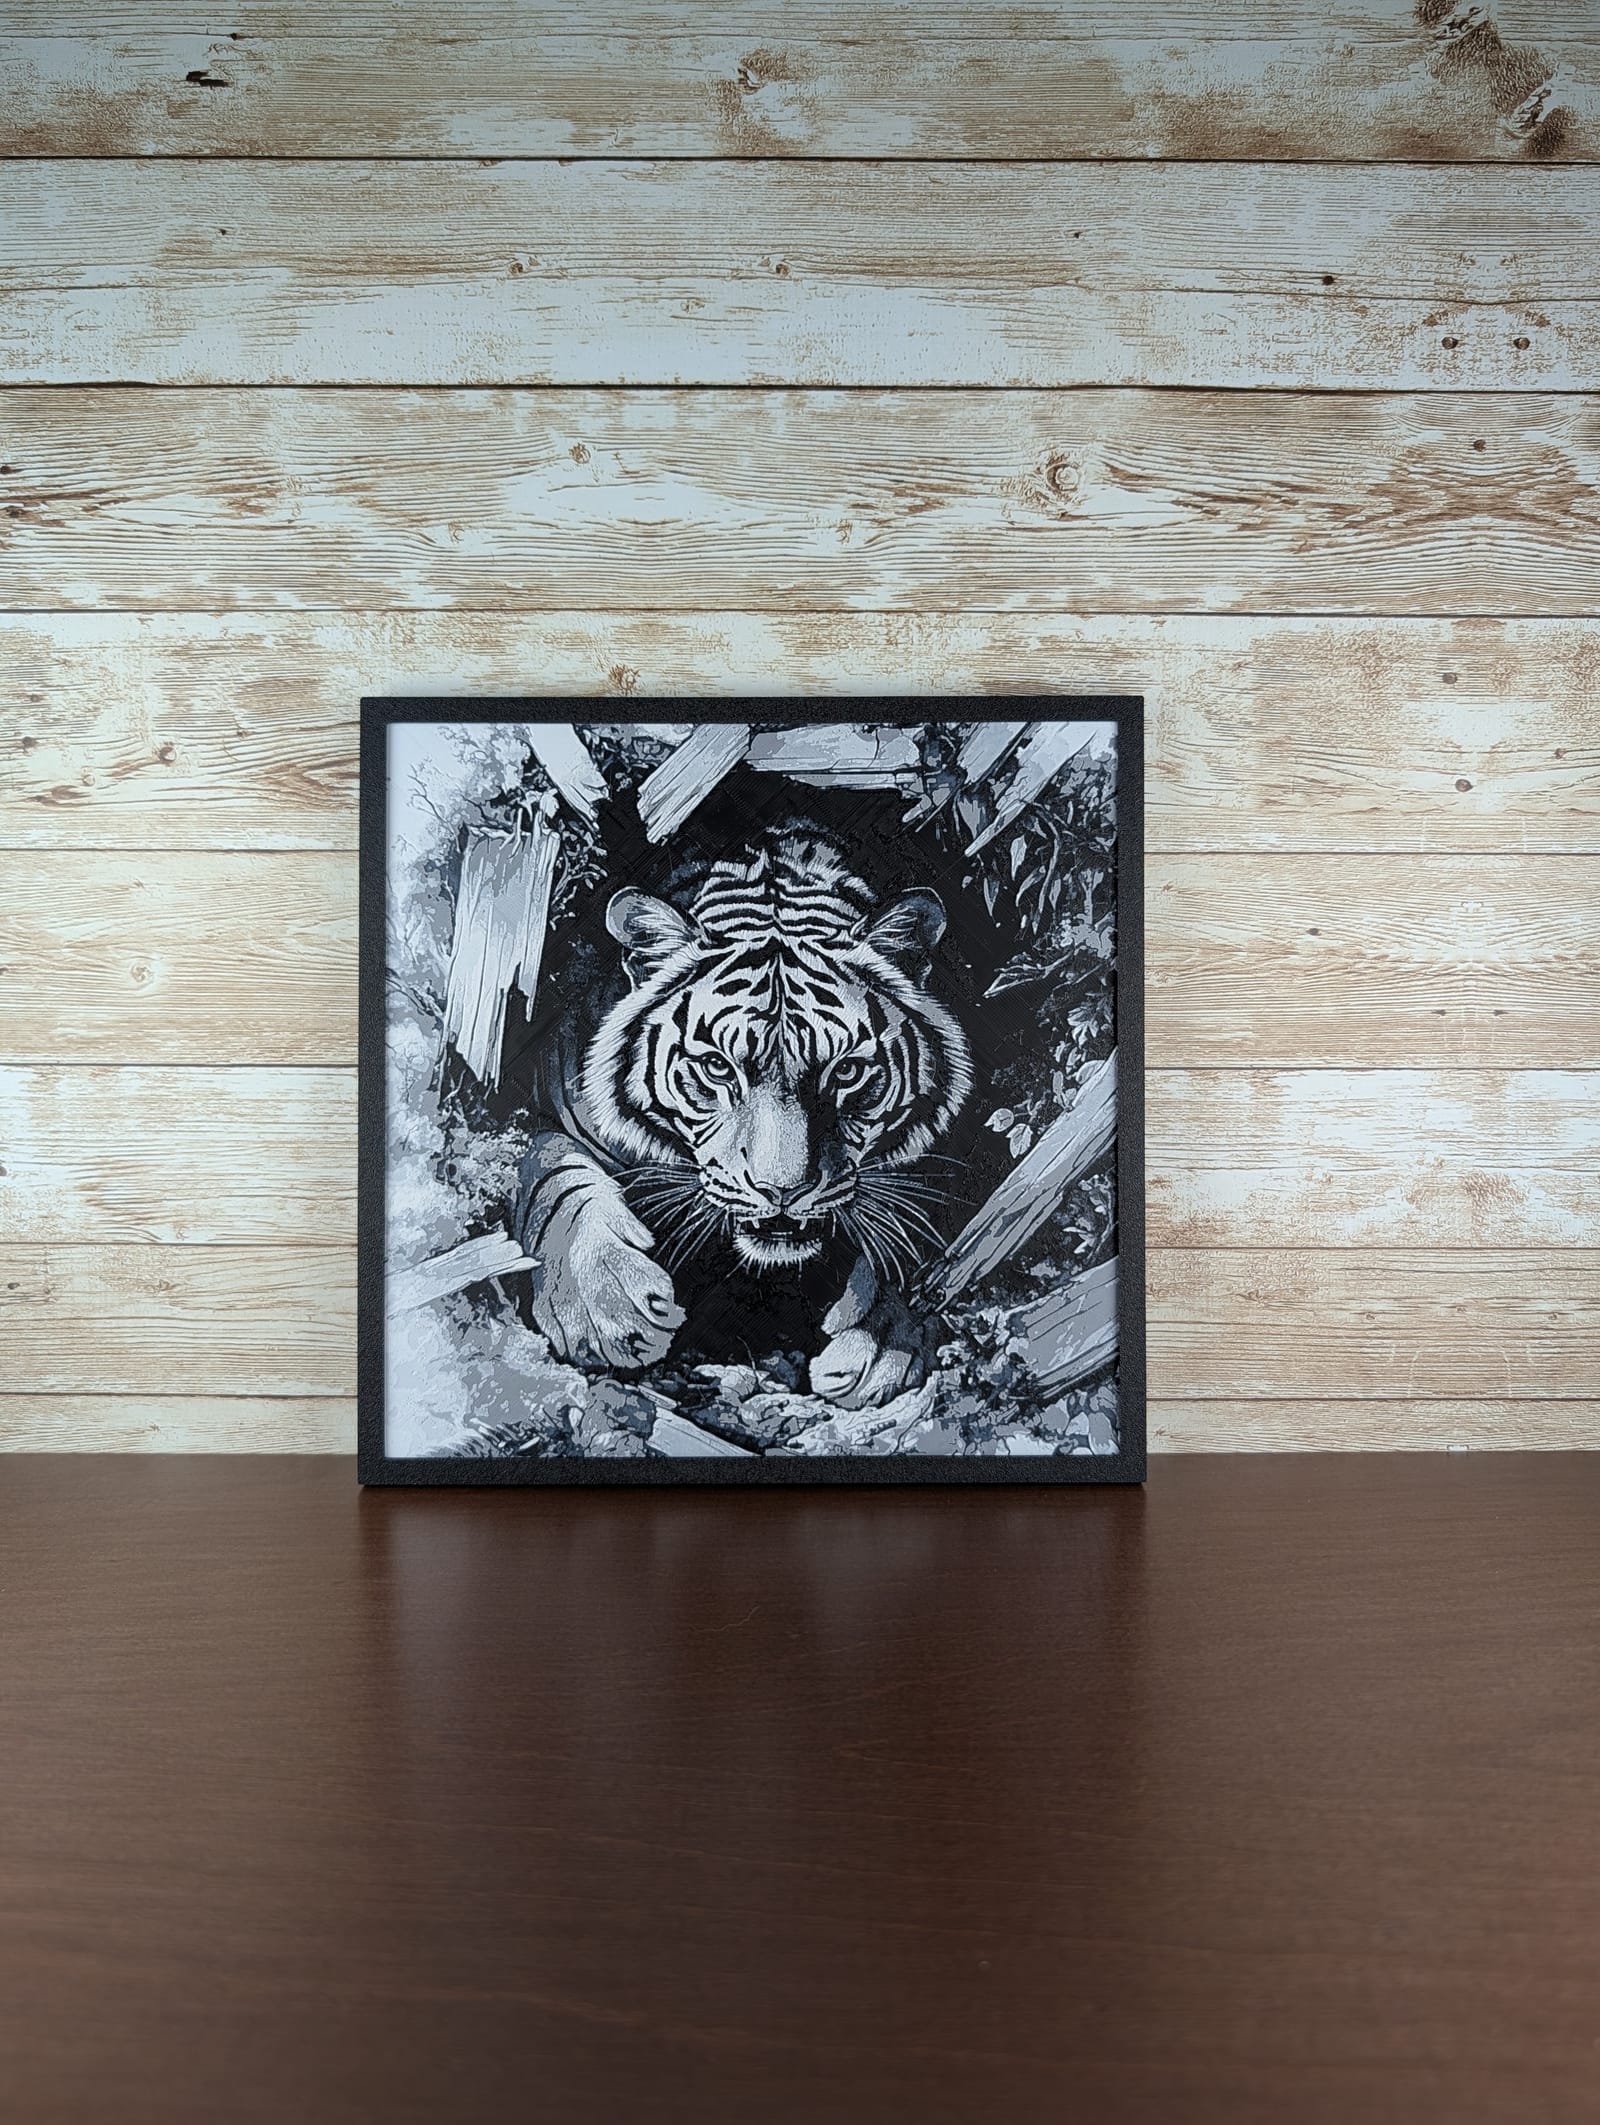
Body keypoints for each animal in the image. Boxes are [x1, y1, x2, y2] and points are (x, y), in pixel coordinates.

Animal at [514, 826, 973, 1409]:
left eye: (846, 1071)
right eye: (717, 1067)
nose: (782, 1191)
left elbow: (906, 1223)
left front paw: (880, 1336)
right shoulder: (545, 1105)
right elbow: (550, 1170)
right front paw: (604, 1304)